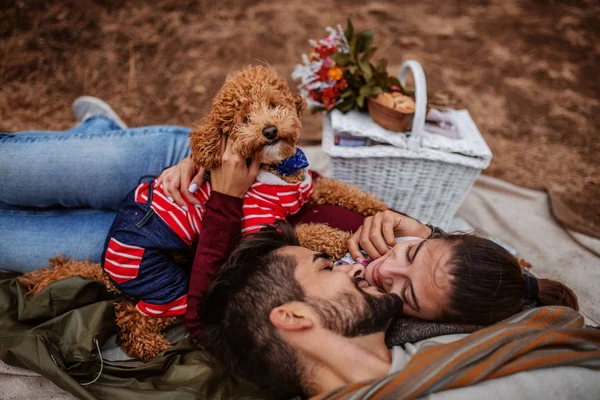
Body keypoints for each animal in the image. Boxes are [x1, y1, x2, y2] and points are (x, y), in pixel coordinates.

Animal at [18, 65, 386, 360]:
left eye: (272, 104)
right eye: (243, 119)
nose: (269, 131)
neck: (278, 169)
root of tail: (106, 264)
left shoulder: (308, 189)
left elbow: (340, 189)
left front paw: (376, 207)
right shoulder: (259, 225)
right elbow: (311, 230)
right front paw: (345, 237)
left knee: (125, 306)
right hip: (165, 285)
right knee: (130, 314)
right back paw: (149, 347)